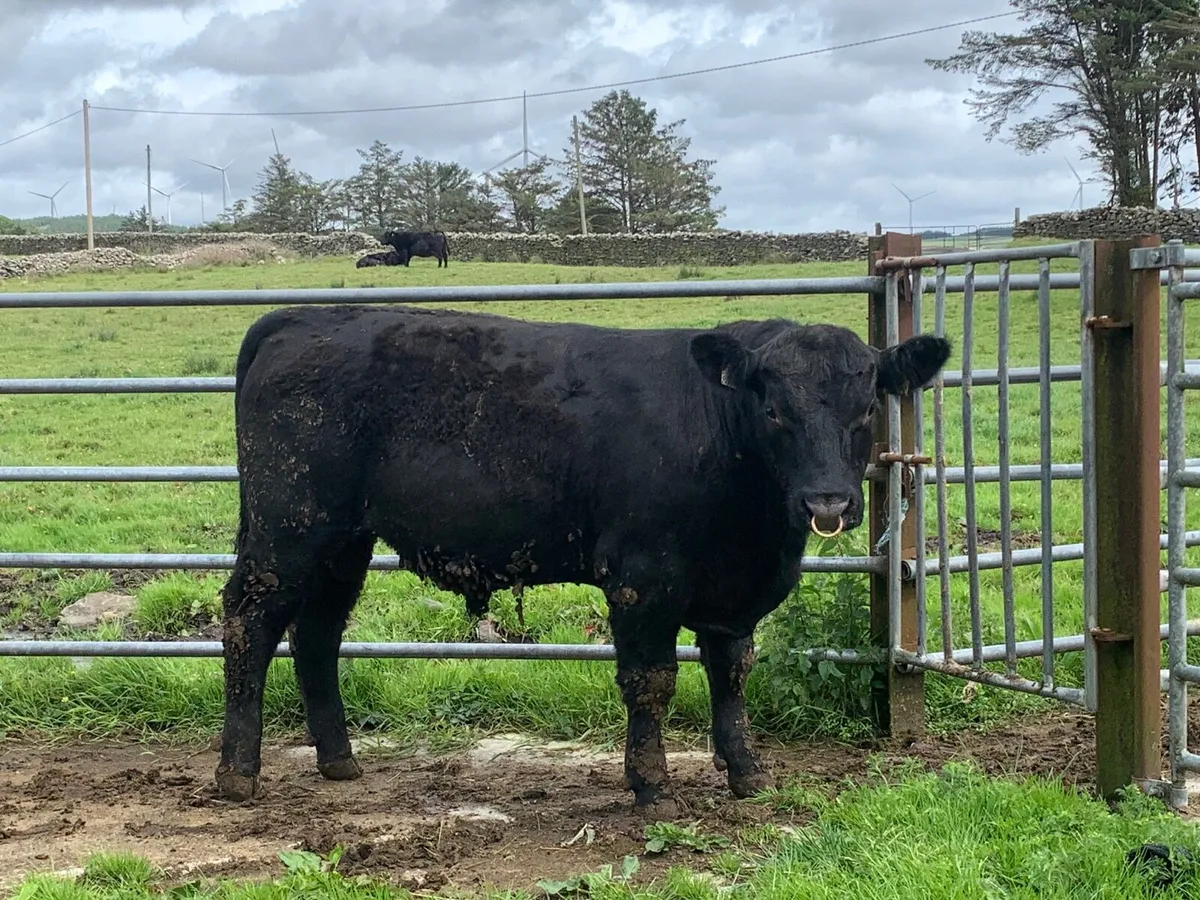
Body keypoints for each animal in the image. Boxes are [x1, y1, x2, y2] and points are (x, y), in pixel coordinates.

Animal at [212, 305, 950, 815]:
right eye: (773, 410)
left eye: (867, 410)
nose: (828, 501)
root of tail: (303, 317)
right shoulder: (642, 579)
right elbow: (651, 681)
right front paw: (652, 787)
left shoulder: (732, 593)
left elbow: (731, 673)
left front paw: (746, 772)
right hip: (289, 531)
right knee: (250, 623)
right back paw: (237, 774)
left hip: (341, 544)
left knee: (317, 633)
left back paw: (339, 761)